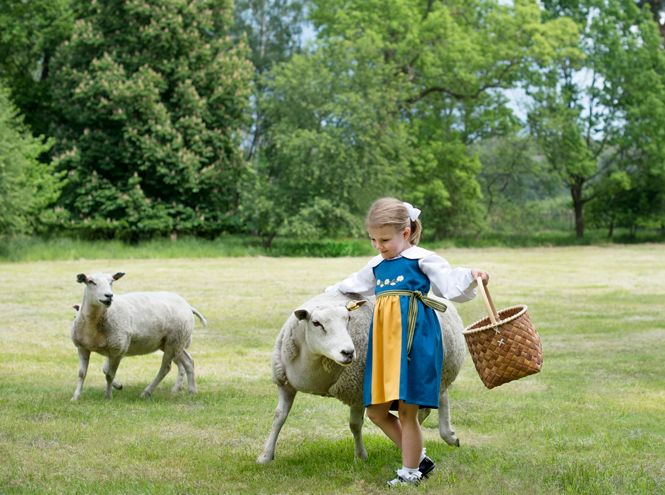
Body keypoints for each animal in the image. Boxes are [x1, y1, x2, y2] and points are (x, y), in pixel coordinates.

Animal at [69, 274, 205, 402]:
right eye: (91, 282)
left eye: (111, 281)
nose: (109, 296)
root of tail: (188, 306)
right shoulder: (83, 348)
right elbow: (82, 374)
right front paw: (76, 397)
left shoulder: (118, 350)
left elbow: (109, 374)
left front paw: (109, 395)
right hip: (174, 342)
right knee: (188, 361)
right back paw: (192, 391)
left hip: (174, 341)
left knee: (166, 368)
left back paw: (146, 392)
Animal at [256, 290, 464, 464]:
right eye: (316, 323)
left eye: (348, 318)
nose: (348, 352)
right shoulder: (285, 385)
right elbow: (278, 417)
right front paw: (265, 456)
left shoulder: (356, 391)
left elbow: (355, 425)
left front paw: (360, 456)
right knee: (434, 402)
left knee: (433, 404)